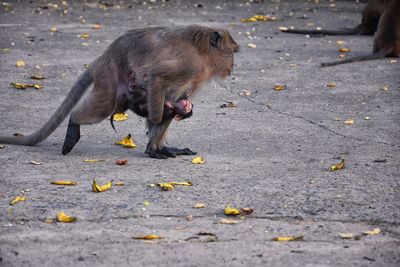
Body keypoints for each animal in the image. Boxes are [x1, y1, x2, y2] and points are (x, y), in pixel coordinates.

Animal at [0, 25, 238, 159]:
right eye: (232, 53)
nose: (232, 66)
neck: (203, 53)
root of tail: (104, 57)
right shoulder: (189, 63)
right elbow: (157, 80)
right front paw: (162, 118)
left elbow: (173, 98)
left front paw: (157, 144)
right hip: (110, 79)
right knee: (104, 107)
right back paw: (75, 122)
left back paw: (157, 149)